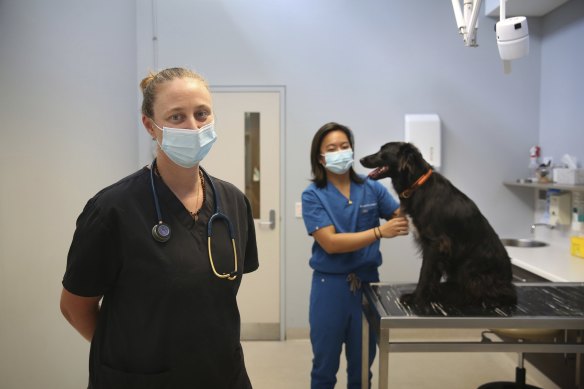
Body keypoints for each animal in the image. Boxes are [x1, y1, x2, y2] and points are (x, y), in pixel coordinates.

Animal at [360, 141, 516, 308]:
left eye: (383, 150)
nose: (361, 159)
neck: (417, 183)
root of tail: (509, 281)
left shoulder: (435, 243)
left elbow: (425, 273)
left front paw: (417, 299)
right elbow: (432, 275)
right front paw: (427, 295)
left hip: (471, 270)